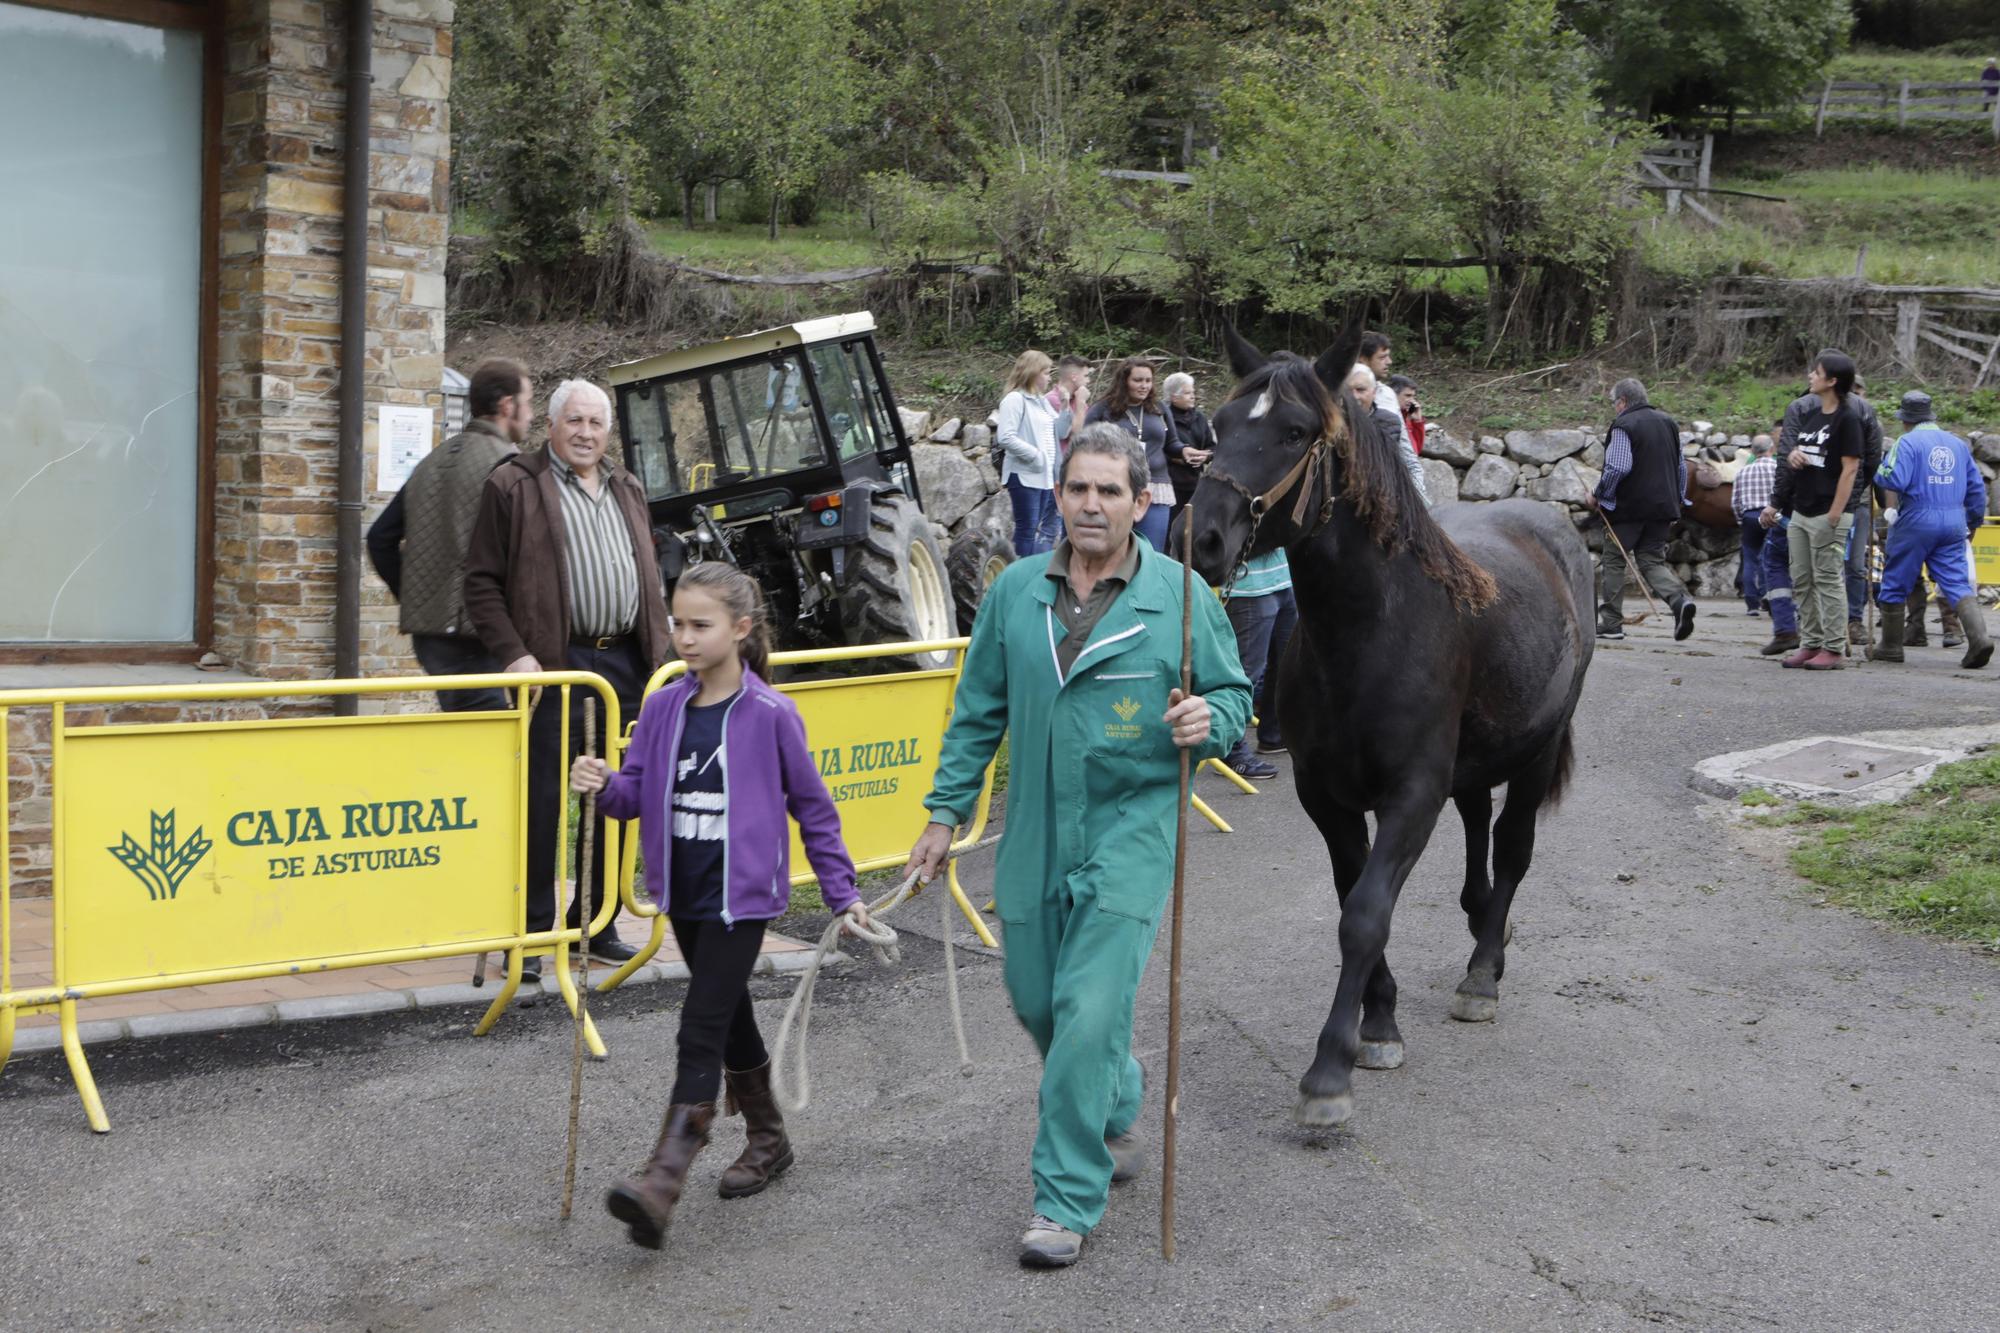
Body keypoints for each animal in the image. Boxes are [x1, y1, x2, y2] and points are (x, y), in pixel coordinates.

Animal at [1184, 330, 1592, 1120]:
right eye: (1217, 425)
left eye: (1295, 432)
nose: (1203, 537)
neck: (1370, 631)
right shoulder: (1327, 798)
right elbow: (1353, 901)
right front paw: (1379, 1021)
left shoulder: (1412, 795)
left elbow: (1367, 914)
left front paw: (1331, 1069)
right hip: (1475, 759)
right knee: (1478, 827)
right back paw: (1480, 922)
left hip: (1534, 755)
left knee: (1513, 847)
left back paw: (1482, 971)